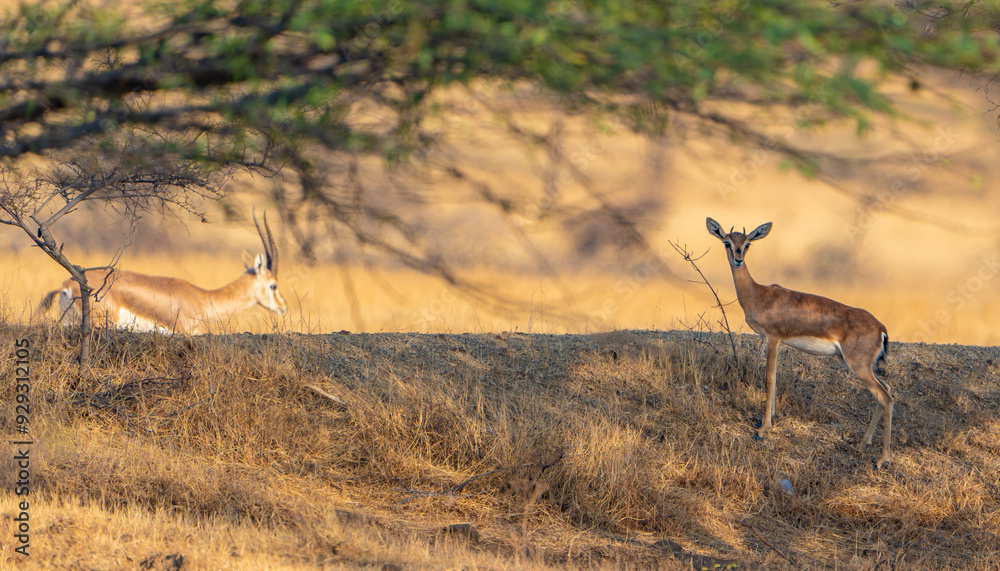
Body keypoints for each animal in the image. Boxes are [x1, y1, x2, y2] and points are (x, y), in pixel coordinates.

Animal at [706, 218, 893, 469]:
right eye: (727, 242)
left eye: (747, 244)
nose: (738, 260)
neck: (758, 294)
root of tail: (881, 328)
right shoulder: (773, 341)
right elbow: (775, 379)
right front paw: (771, 419)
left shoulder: (773, 338)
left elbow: (769, 377)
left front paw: (762, 429)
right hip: (853, 363)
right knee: (886, 390)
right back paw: (864, 444)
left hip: (858, 366)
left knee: (886, 397)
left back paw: (882, 459)